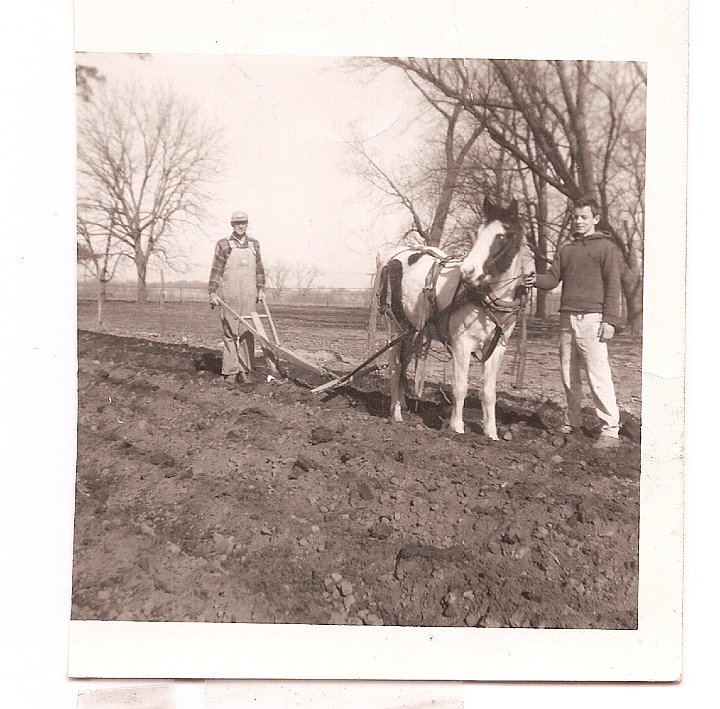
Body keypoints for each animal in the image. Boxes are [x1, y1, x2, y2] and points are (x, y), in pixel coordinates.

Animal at [380, 194, 524, 436]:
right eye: (478, 233)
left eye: (502, 236)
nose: (468, 271)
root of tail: (394, 256)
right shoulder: (461, 344)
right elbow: (460, 387)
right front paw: (456, 427)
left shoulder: (497, 348)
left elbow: (489, 391)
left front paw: (491, 433)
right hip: (395, 327)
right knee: (395, 367)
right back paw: (396, 412)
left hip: (413, 332)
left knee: (405, 365)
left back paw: (403, 403)